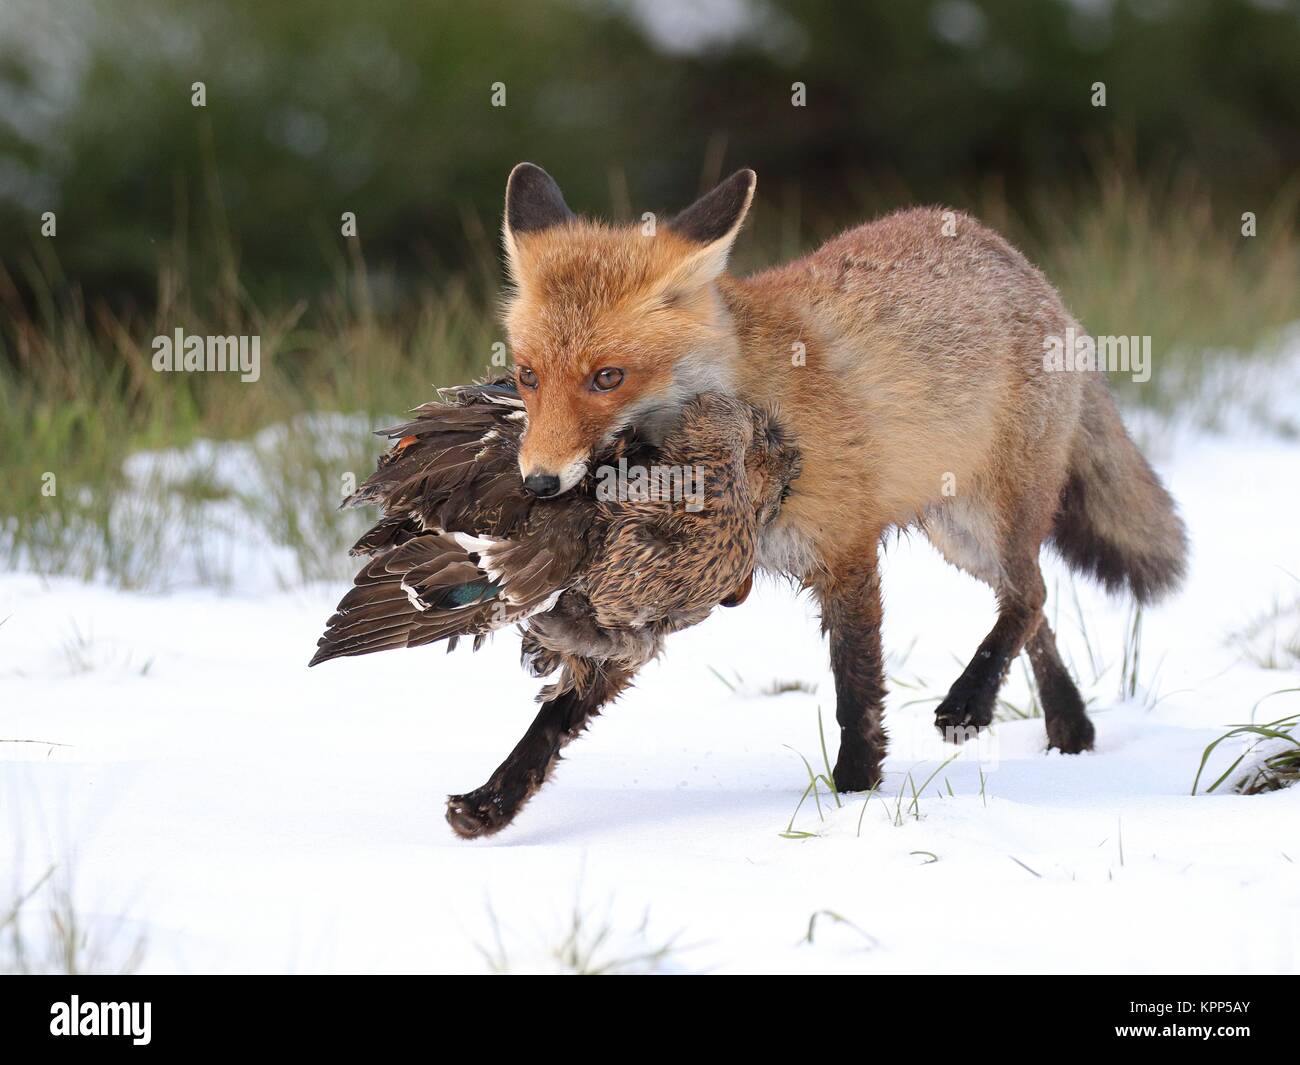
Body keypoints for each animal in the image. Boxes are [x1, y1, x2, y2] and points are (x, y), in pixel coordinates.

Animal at [488, 166, 1180, 811]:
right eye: (527, 376)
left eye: (608, 377)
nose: (540, 481)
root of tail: (1026, 267)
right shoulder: (661, 578)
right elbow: (564, 707)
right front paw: (497, 799)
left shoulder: (845, 551)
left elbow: (857, 690)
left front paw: (854, 795)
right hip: (957, 535)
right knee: (1034, 605)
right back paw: (1069, 726)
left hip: (984, 521)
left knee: (1030, 596)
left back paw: (972, 702)